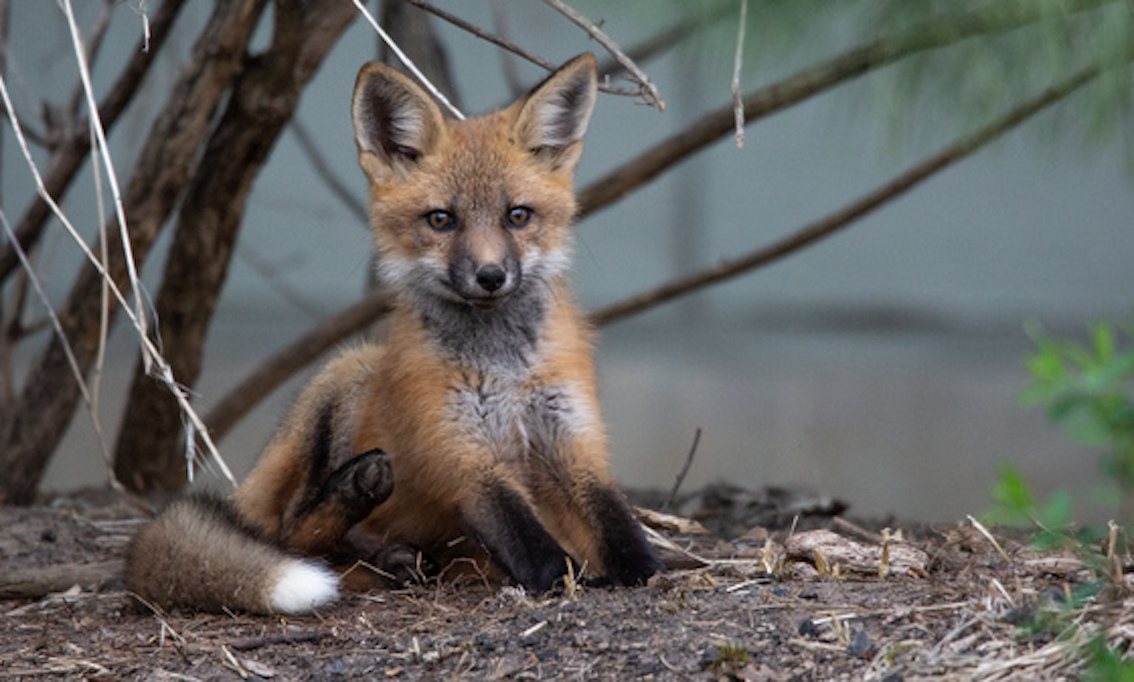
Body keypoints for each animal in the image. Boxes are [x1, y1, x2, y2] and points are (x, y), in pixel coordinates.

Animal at [125, 54, 663, 615]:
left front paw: (640, 572)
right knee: (292, 533)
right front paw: (565, 579)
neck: (503, 369)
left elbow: (617, 523)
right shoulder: (462, 455)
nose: (491, 276)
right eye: (441, 220)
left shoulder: (574, 440)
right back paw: (358, 507)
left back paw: (396, 558)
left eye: (518, 215)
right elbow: (529, 540)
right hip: (348, 371)